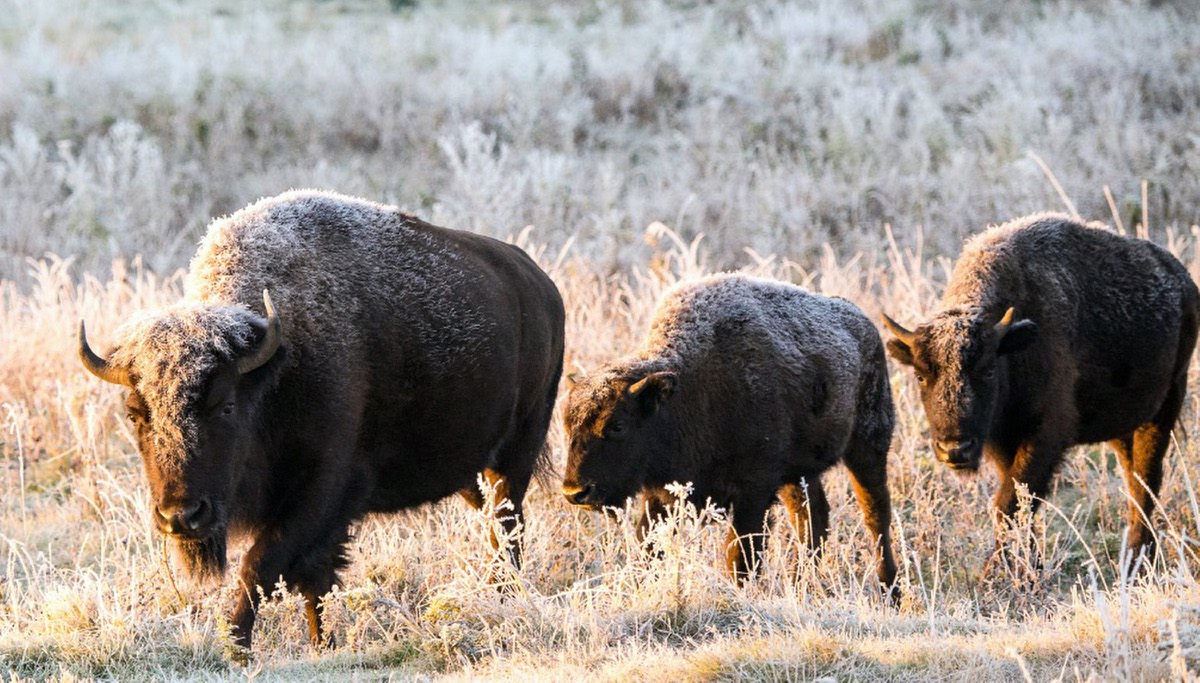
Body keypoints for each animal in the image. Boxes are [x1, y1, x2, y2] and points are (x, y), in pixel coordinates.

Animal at [79, 190, 565, 650]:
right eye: (135, 414)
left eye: (226, 406)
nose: (181, 516)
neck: (275, 364)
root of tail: (542, 286)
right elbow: (313, 581)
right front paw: (320, 643)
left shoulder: (324, 492)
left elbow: (261, 567)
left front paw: (236, 648)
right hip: (470, 472)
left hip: (516, 453)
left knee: (508, 526)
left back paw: (504, 596)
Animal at [562, 274, 898, 593]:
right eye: (567, 425)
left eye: (618, 425)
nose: (575, 492)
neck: (690, 388)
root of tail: (865, 325)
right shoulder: (661, 495)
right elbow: (649, 547)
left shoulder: (754, 490)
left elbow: (740, 557)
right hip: (799, 474)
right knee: (812, 518)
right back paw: (802, 582)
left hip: (869, 446)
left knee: (875, 514)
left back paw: (889, 589)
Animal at [883, 213, 1198, 566]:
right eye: (921, 376)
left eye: (988, 370)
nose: (955, 449)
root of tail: (1183, 281)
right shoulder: (1002, 440)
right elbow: (1017, 500)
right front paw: (1026, 563)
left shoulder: (1046, 433)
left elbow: (1011, 501)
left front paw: (1000, 569)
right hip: (1124, 426)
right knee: (1134, 478)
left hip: (1165, 406)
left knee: (1146, 481)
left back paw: (1136, 559)